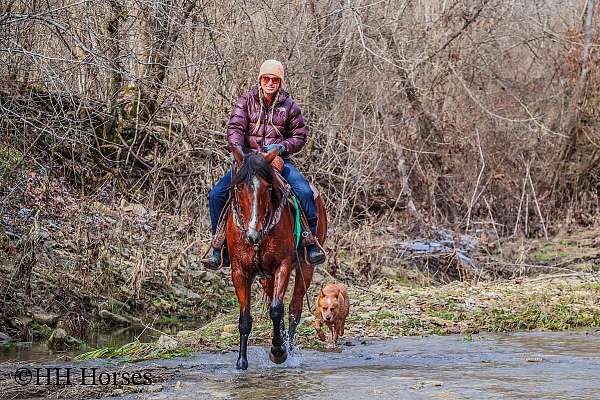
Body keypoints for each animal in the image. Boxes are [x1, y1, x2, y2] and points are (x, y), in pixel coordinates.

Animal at [226, 145, 328, 370]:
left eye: (267, 188)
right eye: (239, 187)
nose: (252, 234)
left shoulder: (283, 265)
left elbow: (276, 309)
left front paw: (278, 352)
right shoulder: (239, 271)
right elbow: (244, 318)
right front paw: (241, 362)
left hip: (306, 266)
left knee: (294, 308)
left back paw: (286, 347)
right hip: (265, 277)